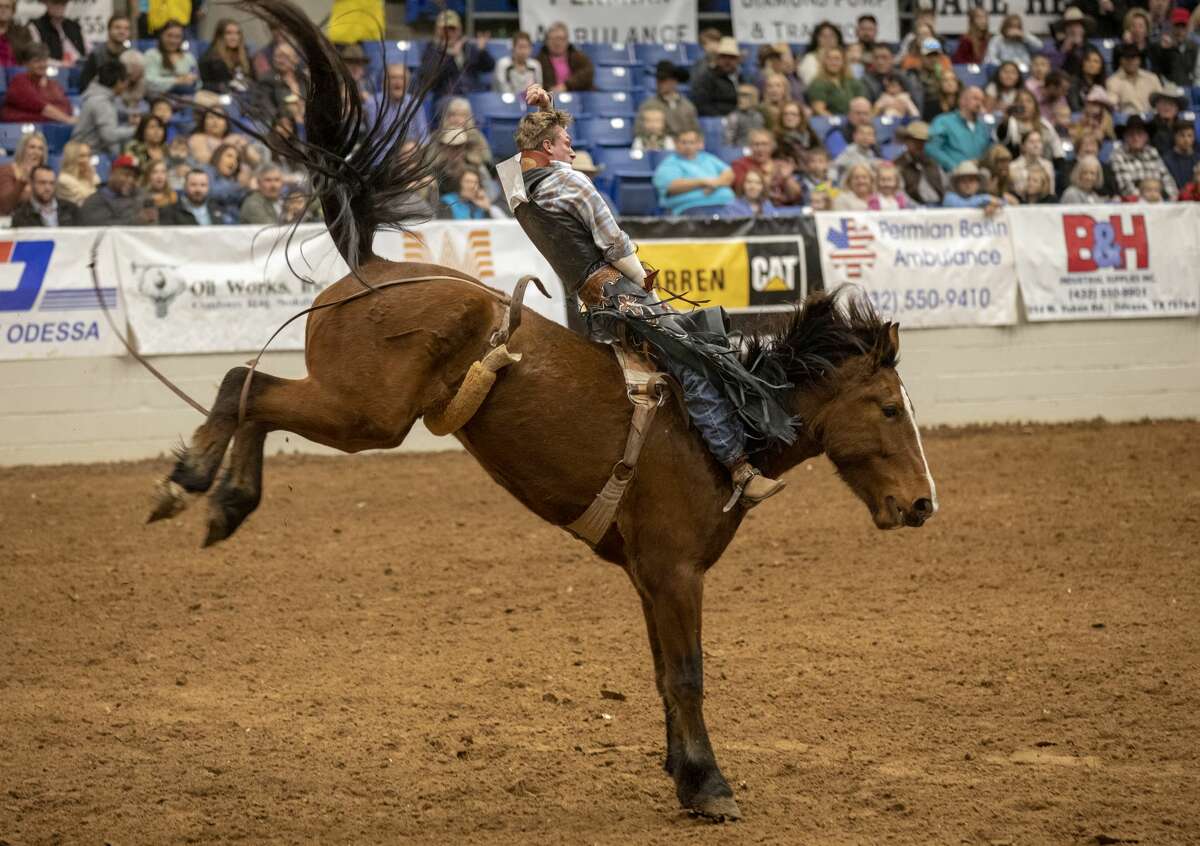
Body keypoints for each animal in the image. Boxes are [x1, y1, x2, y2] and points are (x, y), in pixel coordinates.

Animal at [147, 0, 936, 816]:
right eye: (886, 408)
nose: (922, 503)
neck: (732, 423)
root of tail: (371, 265)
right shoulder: (676, 568)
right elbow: (688, 674)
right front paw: (710, 785)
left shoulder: (649, 575)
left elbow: (663, 674)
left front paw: (683, 774)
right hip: (365, 413)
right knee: (244, 383)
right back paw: (194, 480)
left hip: (356, 409)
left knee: (252, 393)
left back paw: (223, 499)